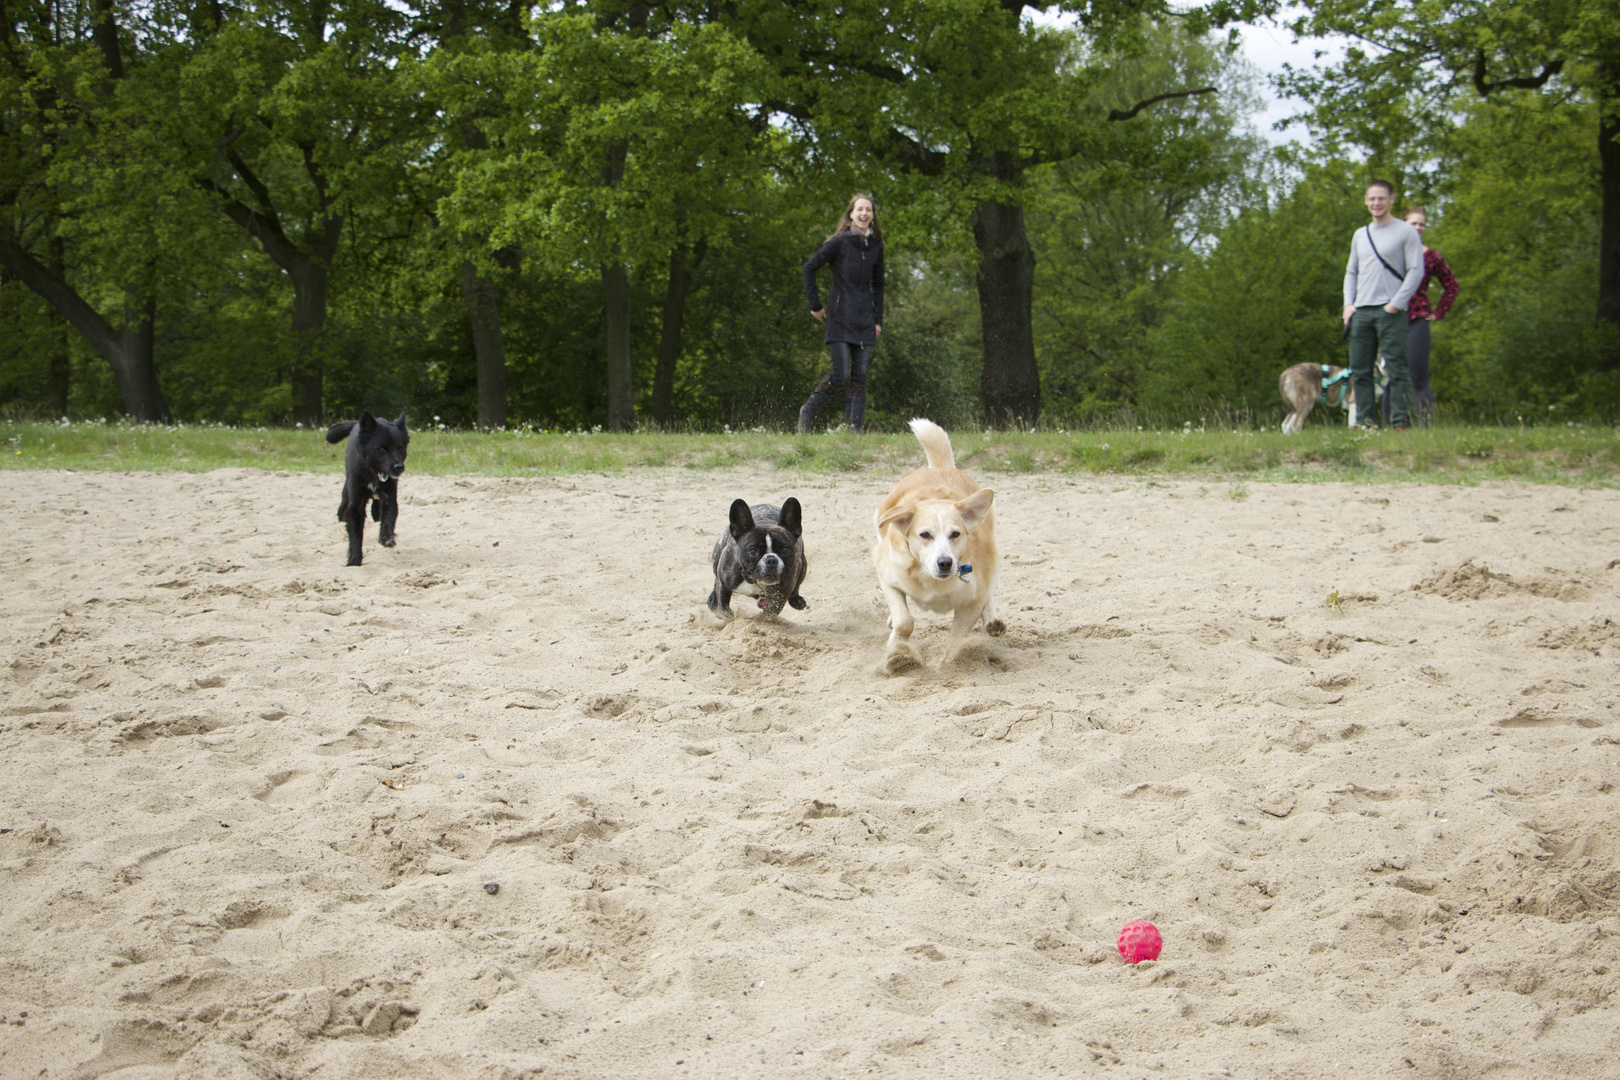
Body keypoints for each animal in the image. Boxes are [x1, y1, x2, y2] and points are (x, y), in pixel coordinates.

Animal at [325, 411, 408, 566]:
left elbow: (389, 518)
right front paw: (354, 560)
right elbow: (356, 532)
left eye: (400, 447)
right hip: (347, 490)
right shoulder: (356, 502)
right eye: (382, 448)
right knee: (343, 505)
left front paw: (386, 538)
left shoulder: (389, 496)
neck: (374, 473)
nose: (399, 467)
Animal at [874, 417, 997, 670]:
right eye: (925, 535)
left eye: (956, 534)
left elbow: (957, 639)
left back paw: (992, 619)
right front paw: (897, 651)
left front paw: (950, 664)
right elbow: (905, 620)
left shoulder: (972, 601)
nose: (945, 563)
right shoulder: (886, 572)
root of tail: (941, 467)